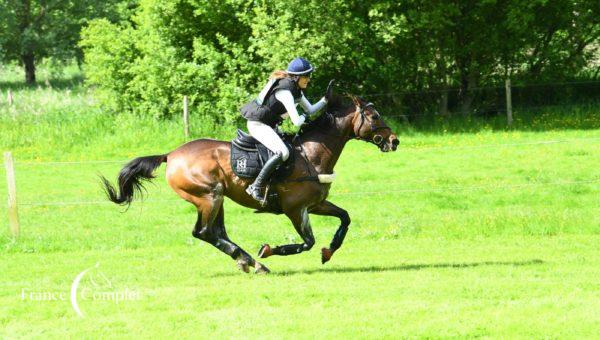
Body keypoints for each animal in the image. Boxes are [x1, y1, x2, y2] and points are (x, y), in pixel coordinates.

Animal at [101, 95, 400, 274]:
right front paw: (268, 250)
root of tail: (171, 155)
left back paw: (248, 262)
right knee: (204, 232)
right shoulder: (295, 210)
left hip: (217, 198)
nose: (394, 140)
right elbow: (306, 243)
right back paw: (253, 262)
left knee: (216, 232)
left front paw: (329, 251)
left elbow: (344, 218)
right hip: (209, 196)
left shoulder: (315, 204)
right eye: (374, 117)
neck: (312, 154)